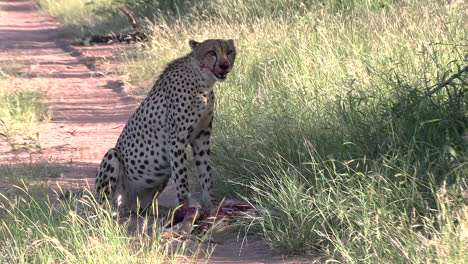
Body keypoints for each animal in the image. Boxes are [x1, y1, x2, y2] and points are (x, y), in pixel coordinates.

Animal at [95, 39, 236, 216]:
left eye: (229, 51)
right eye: (211, 53)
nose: (225, 65)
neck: (203, 80)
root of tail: (129, 205)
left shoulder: (201, 138)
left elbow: (206, 174)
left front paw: (211, 205)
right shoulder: (176, 141)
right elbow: (182, 178)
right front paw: (186, 209)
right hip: (112, 156)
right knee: (104, 204)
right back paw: (111, 211)